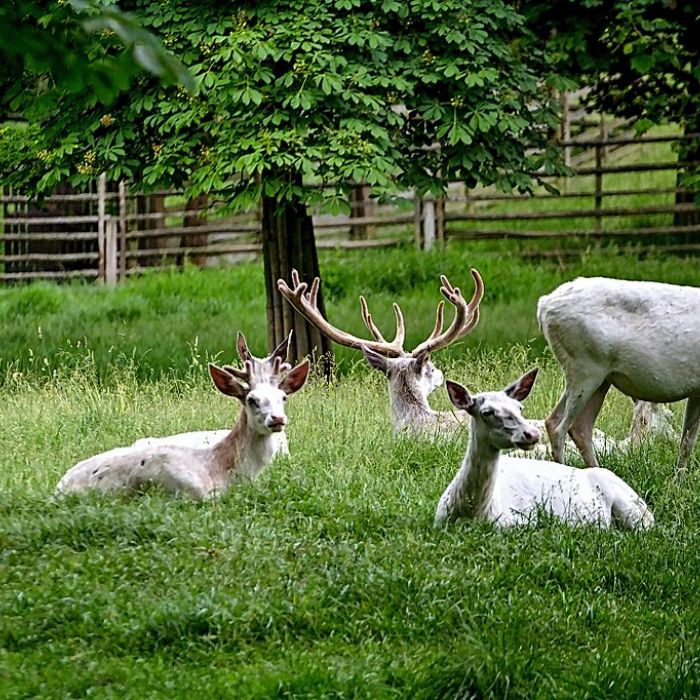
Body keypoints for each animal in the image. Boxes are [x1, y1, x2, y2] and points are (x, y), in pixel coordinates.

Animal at [54, 337, 310, 500]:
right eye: (252, 399)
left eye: (283, 397)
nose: (277, 419)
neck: (223, 470)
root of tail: (58, 489)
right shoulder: (192, 491)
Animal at [435, 368, 654, 529]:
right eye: (487, 412)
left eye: (519, 408)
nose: (531, 434)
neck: (474, 512)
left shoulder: (519, 522)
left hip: (635, 512)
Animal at [538, 276, 697, 473]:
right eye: (670, 417)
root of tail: (543, 306)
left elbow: (687, 441)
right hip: (584, 367)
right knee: (560, 427)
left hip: (598, 378)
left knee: (575, 426)